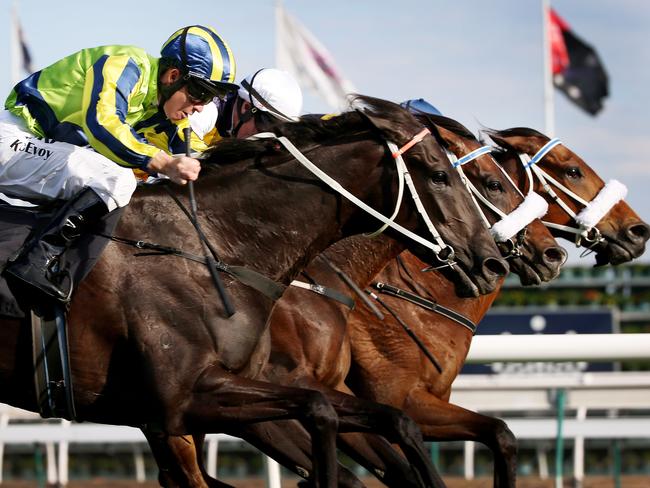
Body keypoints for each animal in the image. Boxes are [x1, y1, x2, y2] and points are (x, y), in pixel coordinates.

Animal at [0, 96, 506, 488]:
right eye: (441, 175)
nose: (492, 260)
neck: (215, 247)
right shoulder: (182, 402)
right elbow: (322, 415)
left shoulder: (232, 397)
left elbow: (390, 422)